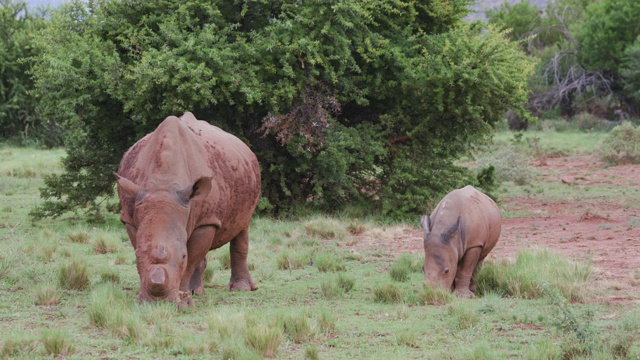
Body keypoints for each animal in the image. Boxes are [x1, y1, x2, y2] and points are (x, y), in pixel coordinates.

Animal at [116, 112, 262, 306]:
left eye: (182, 256)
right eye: (137, 255)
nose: (158, 300)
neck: (163, 185)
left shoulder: (207, 221)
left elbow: (192, 258)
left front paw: (184, 303)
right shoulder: (130, 218)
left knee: (242, 226)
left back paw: (241, 289)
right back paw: (197, 292)